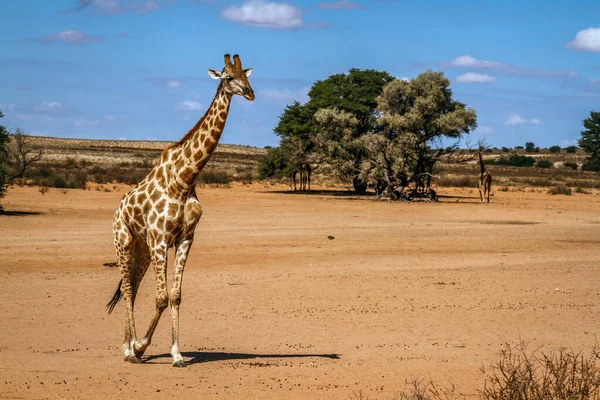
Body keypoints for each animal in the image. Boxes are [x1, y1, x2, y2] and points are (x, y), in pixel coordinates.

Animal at [106, 54, 254, 368]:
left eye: (245, 76)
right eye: (228, 77)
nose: (250, 93)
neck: (185, 179)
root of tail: (119, 208)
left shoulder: (185, 238)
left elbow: (175, 296)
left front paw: (176, 354)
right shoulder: (162, 239)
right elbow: (161, 297)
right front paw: (141, 346)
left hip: (143, 248)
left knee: (132, 286)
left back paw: (126, 347)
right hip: (124, 240)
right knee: (126, 288)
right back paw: (130, 351)